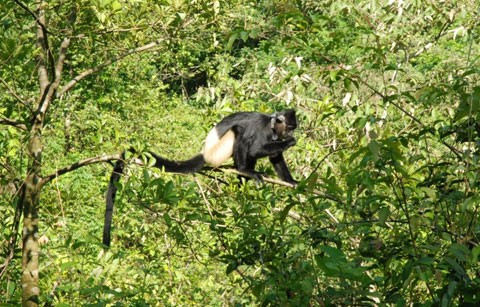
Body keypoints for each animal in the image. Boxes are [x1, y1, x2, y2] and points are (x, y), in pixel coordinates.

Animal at [103, 109, 298, 247]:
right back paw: (244, 170)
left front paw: (293, 182)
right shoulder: (261, 128)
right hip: (217, 153)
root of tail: (204, 153)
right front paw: (289, 143)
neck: (271, 126)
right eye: (290, 128)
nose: (289, 135)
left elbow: (275, 157)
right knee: (239, 132)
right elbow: (256, 149)